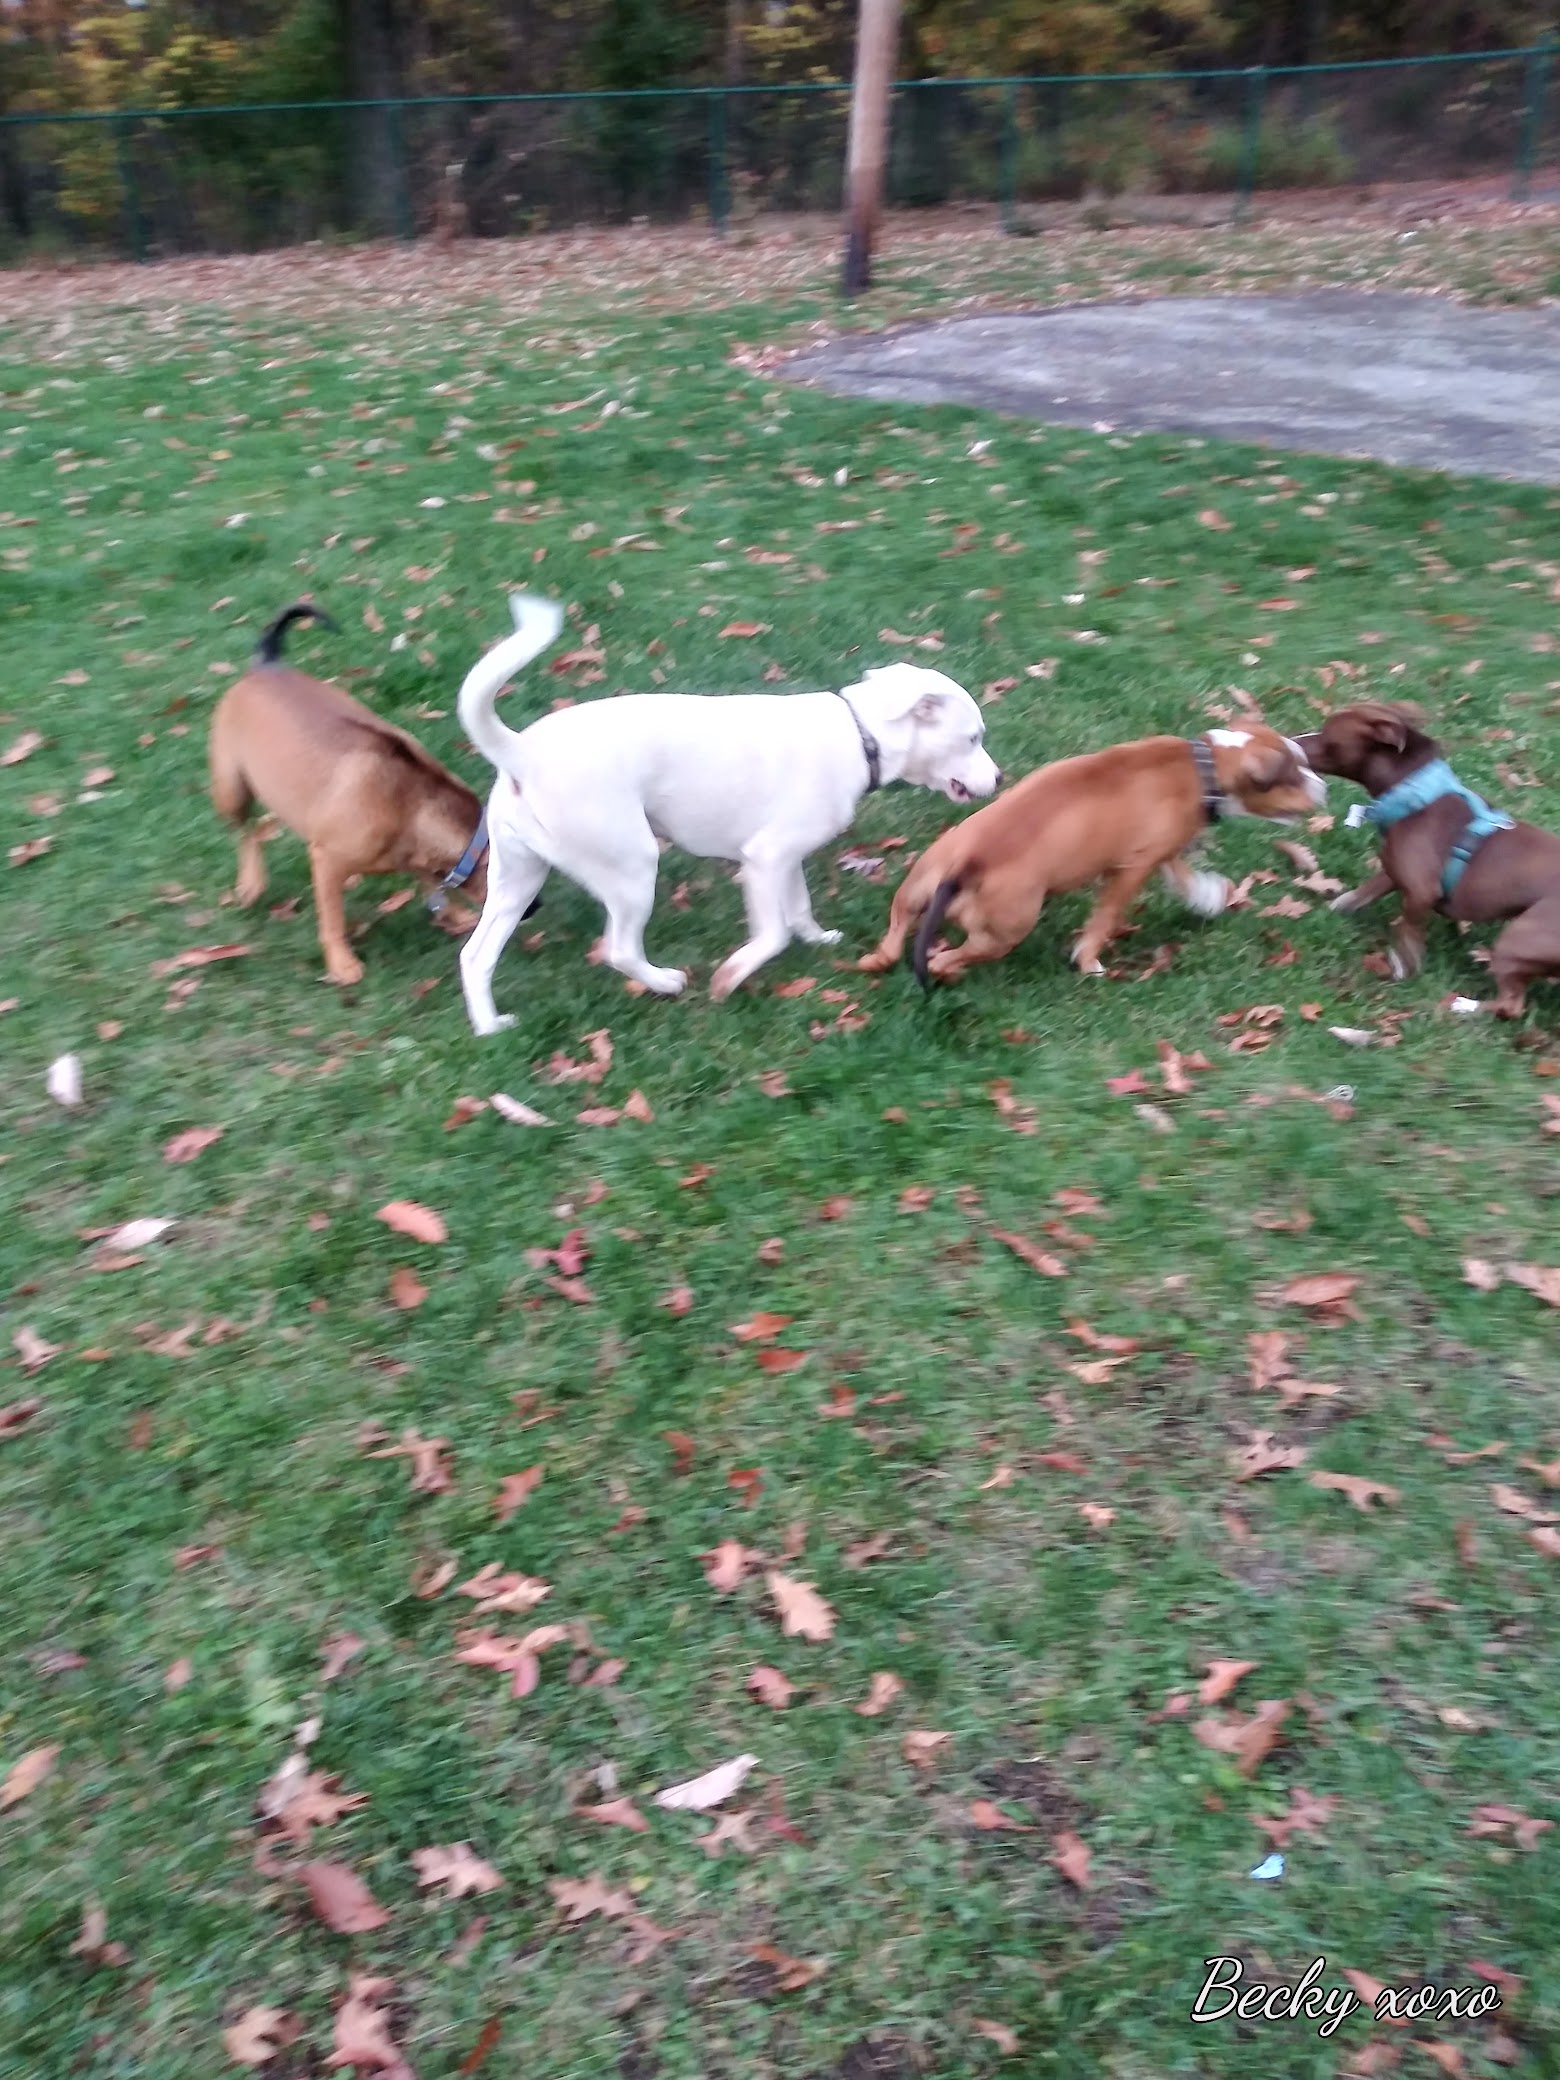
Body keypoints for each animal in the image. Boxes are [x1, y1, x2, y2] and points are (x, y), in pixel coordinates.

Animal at [209, 602, 497, 985]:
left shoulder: (416, 856)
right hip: (232, 789)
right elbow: (332, 920)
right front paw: (341, 963)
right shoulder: (326, 862)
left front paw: (450, 914)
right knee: (245, 831)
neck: (410, 802)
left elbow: (429, 883)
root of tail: (265, 664)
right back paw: (252, 882)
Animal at [455, 595, 1001, 1033]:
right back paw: (666, 983)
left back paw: (490, 1028)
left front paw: (819, 939)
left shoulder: (785, 860)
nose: (999, 780)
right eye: (973, 737)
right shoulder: (763, 859)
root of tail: (522, 753)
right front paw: (731, 977)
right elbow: (774, 933)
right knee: (620, 949)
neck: (860, 734)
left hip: (518, 879)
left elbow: (798, 909)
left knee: (475, 955)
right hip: (633, 866)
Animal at [859, 724, 1324, 987]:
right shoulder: (1131, 870)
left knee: (895, 935)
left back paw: (875, 959)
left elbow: (1183, 875)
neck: (1204, 764)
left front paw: (1208, 897)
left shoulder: (1162, 850)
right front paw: (1088, 961)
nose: (1325, 788)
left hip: (920, 881)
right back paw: (949, 969)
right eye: (1293, 775)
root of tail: (965, 863)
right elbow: (1104, 920)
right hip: (1006, 930)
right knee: (944, 959)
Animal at [1298, 700, 1560, 1018]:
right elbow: (1365, 892)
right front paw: (1337, 908)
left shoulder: (1421, 892)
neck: (1415, 795)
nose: (1293, 741)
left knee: (1511, 1005)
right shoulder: (1394, 869)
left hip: (1517, 939)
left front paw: (1403, 968)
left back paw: (1464, 1006)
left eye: (1327, 734)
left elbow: (1407, 935)